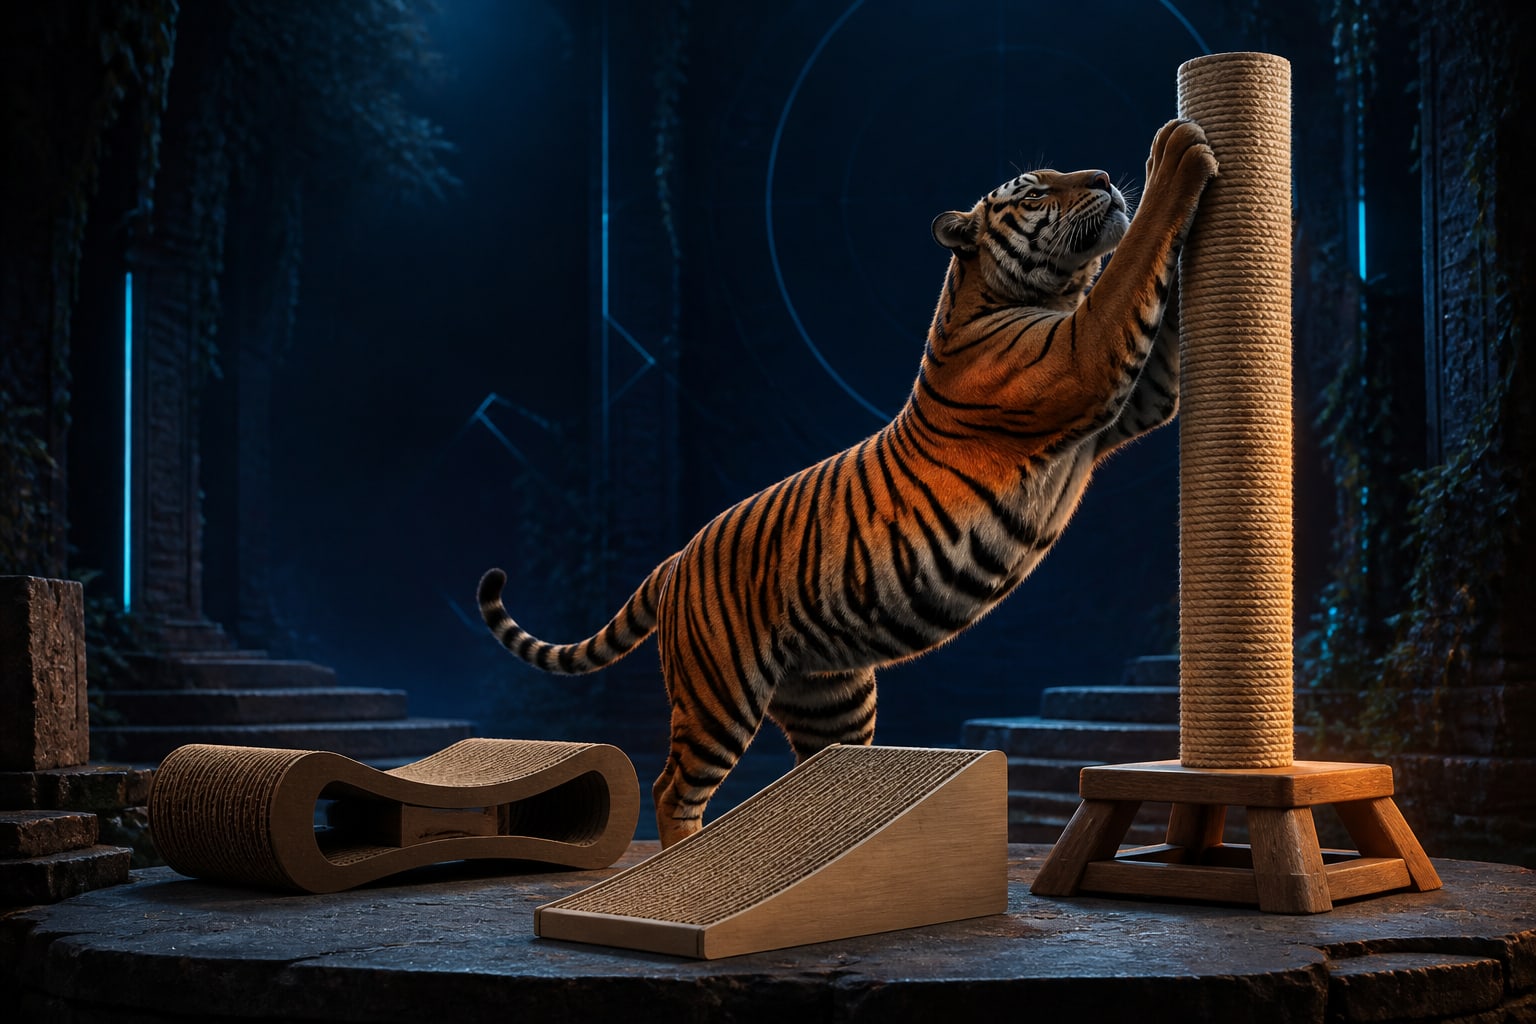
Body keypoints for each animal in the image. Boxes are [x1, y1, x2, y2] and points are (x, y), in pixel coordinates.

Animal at [479, 118, 1218, 848]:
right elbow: (1134, 257)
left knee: (817, 770)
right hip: (720, 692)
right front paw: (1176, 149)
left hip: (831, 698)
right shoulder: (1085, 356)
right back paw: (685, 854)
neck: (1027, 292)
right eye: (1036, 192)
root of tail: (676, 558)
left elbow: (1161, 313)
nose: (1101, 177)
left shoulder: (1136, 390)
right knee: (673, 786)